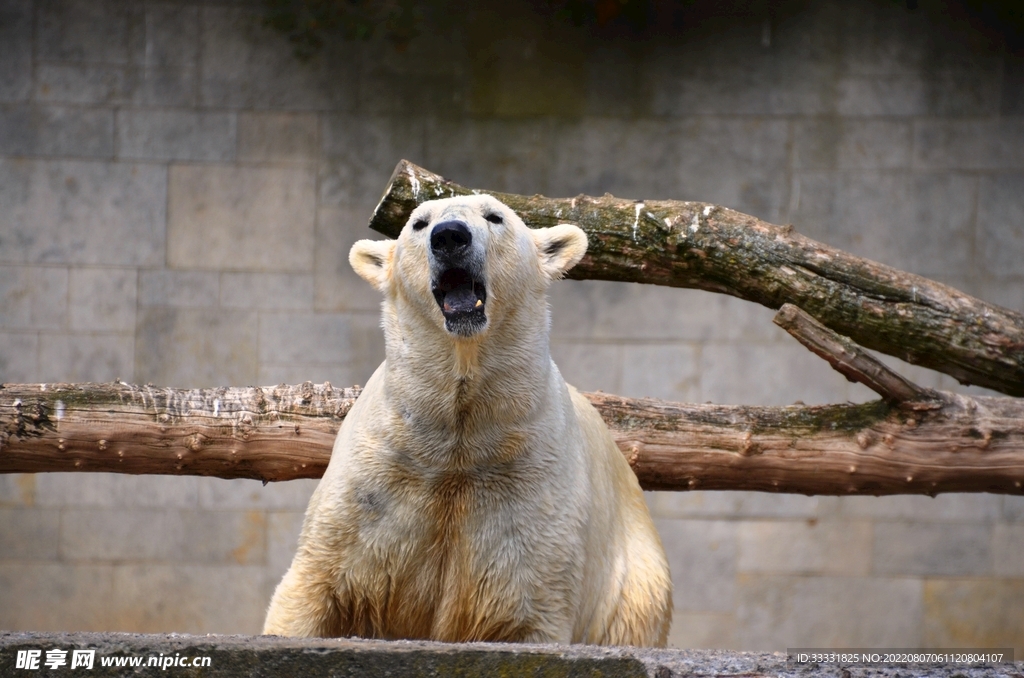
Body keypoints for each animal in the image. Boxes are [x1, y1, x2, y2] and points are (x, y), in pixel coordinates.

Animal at [266, 192, 671, 647]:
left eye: (495, 216)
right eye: (419, 223)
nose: (450, 236)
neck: (461, 430)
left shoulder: (529, 493)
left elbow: (526, 605)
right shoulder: (376, 481)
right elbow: (312, 587)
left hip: (634, 585)